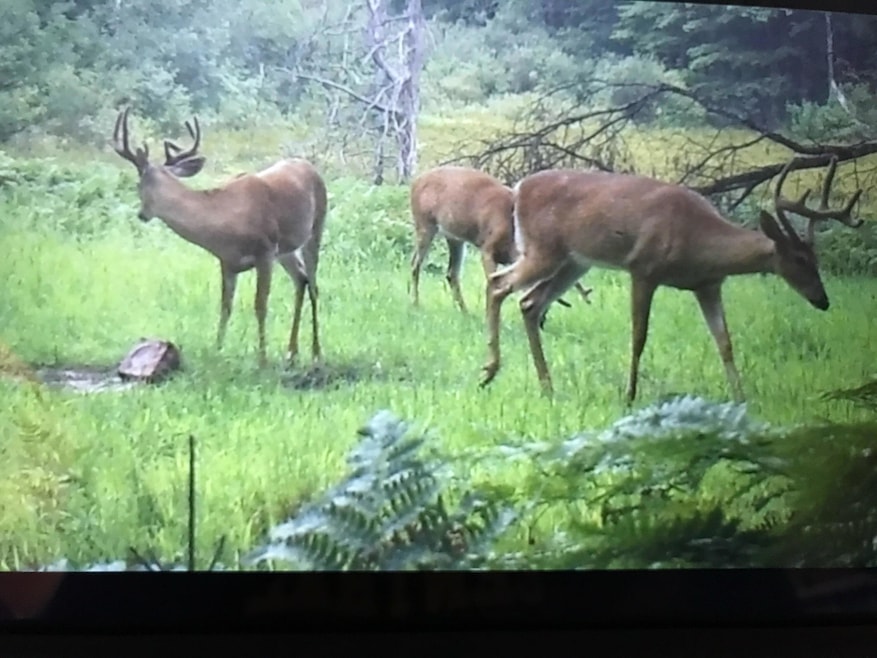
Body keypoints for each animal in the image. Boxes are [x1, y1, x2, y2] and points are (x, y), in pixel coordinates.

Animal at [110, 107, 327, 367]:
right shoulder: (227, 261)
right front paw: (218, 350)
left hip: (316, 226)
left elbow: (260, 305)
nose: (142, 214)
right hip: (286, 249)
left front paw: (262, 358)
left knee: (313, 284)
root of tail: (310, 167)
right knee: (301, 279)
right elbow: (225, 306)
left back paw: (316, 352)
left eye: (138, 185)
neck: (225, 220)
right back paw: (292, 352)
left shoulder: (265, 251)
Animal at [408, 164, 592, 328]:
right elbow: (492, 284)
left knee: (451, 273)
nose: (541, 324)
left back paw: (465, 312)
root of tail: (415, 181)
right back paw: (416, 303)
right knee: (415, 264)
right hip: (424, 223)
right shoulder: (487, 248)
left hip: (454, 237)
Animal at [478, 156, 863, 403]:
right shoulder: (644, 268)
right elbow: (638, 337)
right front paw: (630, 395)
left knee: (528, 301)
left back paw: (546, 386)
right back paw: (490, 370)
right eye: (799, 259)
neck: (698, 240)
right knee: (499, 284)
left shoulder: (709, 285)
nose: (823, 300)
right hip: (544, 250)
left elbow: (725, 342)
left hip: (574, 261)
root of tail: (518, 189)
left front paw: (742, 398)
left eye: (817, 259)